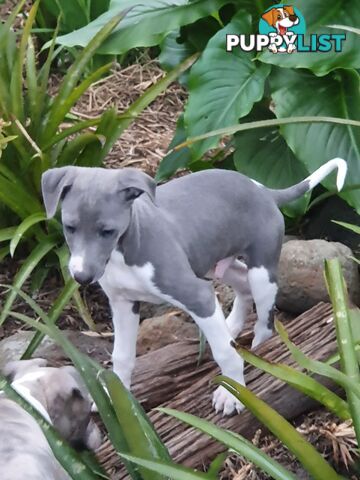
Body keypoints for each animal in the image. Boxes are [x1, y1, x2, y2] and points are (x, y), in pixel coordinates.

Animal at [41, 159, 346, 414]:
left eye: (108, 231)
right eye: (69, 227)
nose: (81, 277)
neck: (125, 250)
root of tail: (264, 190)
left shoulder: (196, 294)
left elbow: (226, 354)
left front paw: (232, 394)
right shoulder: (123, 303)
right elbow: (122, 356)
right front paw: (117, 397)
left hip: (261, 272)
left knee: (264, 323)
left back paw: (255, 351)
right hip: (213, 265)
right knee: (241, 287)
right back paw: (229, 327)